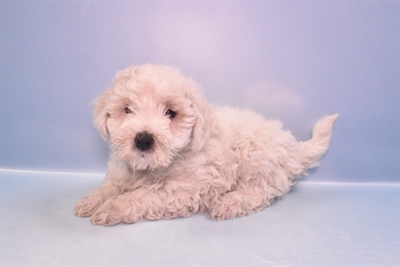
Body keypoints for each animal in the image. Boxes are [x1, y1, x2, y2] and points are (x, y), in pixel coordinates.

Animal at [74, 65, 338, 226]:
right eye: (127, 109)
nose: (144, 139)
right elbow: (110, 186)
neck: (149, 168)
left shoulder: (181, 191)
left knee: (259, 192)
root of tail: (293, 146)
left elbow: (141, 197)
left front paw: (111, 208)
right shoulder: (121, 174)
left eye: (170, 113)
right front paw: (91, 200)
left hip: (258, 159)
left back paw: (230, 202)